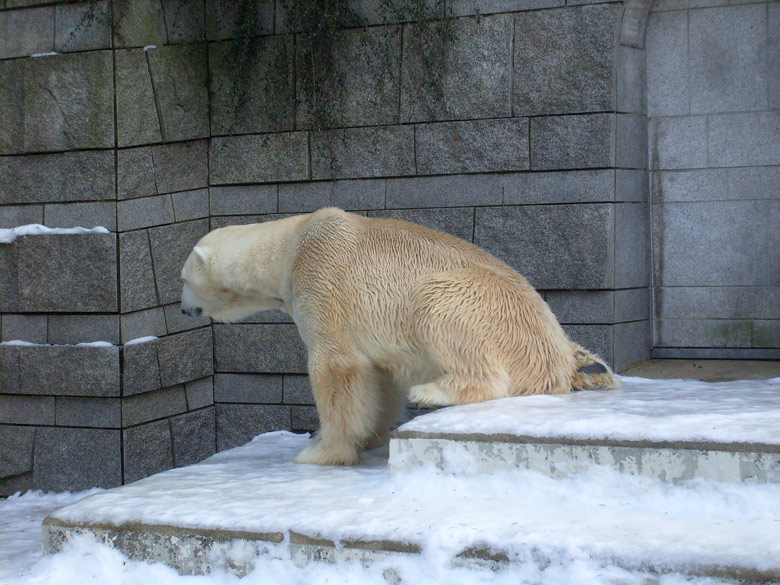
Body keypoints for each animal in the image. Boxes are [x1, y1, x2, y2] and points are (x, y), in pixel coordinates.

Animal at [180, 208, 620, 464]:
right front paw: (370, 435)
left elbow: (336, 368)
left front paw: (321, 450)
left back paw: (431, 391)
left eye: (183, 279)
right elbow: (378, 377)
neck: (290, 245)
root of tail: (553, 363)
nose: (183, 309)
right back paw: (592, 365)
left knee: (443, 312)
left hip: (481, 307)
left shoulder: (321, 281)